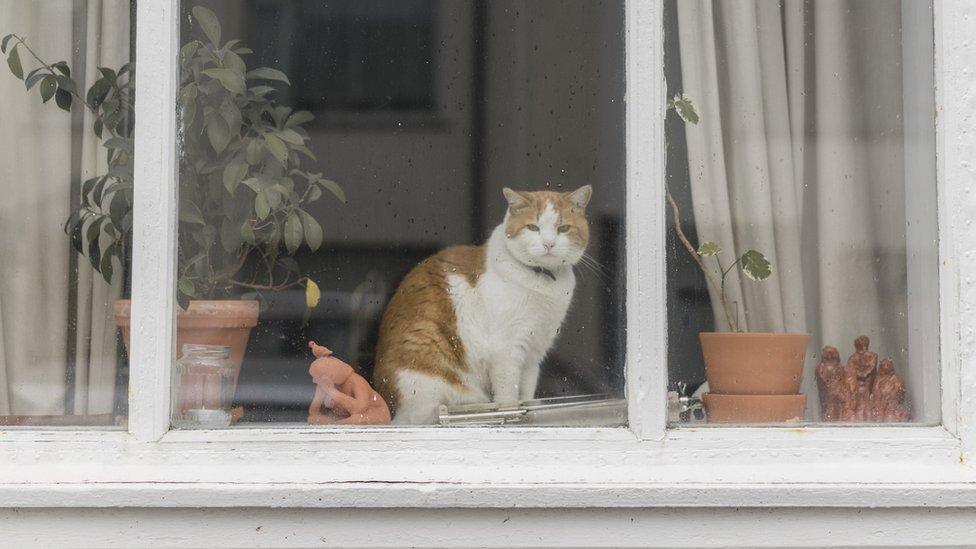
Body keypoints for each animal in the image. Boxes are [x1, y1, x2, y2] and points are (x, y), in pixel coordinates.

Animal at [372, 185, 592, 424]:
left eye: (563, 228)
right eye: (533, 227)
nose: (549, 244)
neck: (541, 282)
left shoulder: (534, 352)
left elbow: (526, 392)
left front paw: (529, 412)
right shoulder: (507, 350)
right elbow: (508, 396)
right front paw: (511, 416)